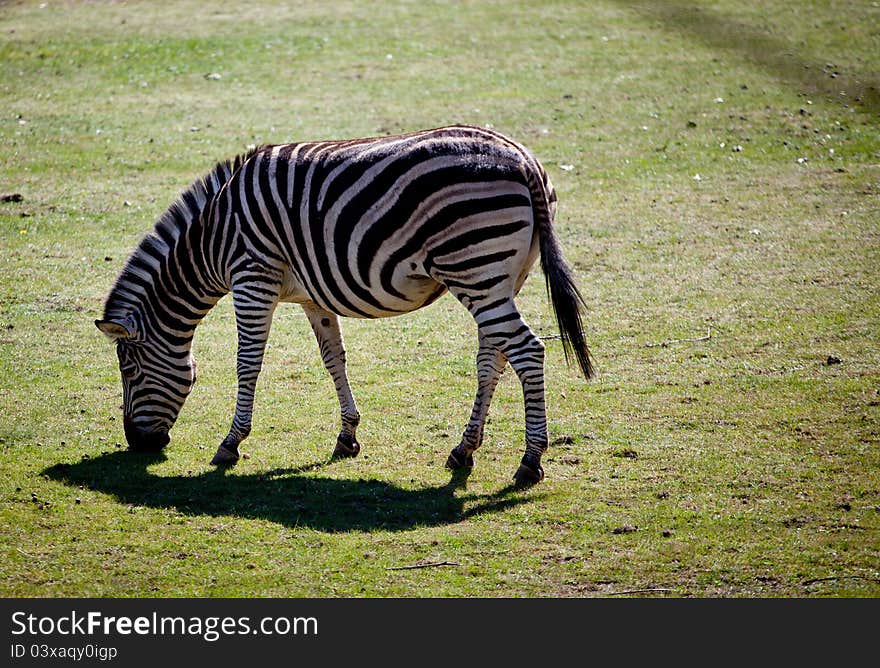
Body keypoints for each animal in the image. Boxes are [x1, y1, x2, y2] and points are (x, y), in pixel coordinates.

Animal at [94, 124, 592, 486]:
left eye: (129, 369)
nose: (137, 444)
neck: (212, 239)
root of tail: (523, 158)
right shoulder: (312, 295)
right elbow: (334, 359)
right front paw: (347, 436)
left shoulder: (252, 277)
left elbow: (247, 363)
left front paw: (230, 444)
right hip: (501, 277)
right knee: (493, 358)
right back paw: (463, 450)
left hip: (475, 269)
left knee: (527, 351)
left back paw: (529, 461)